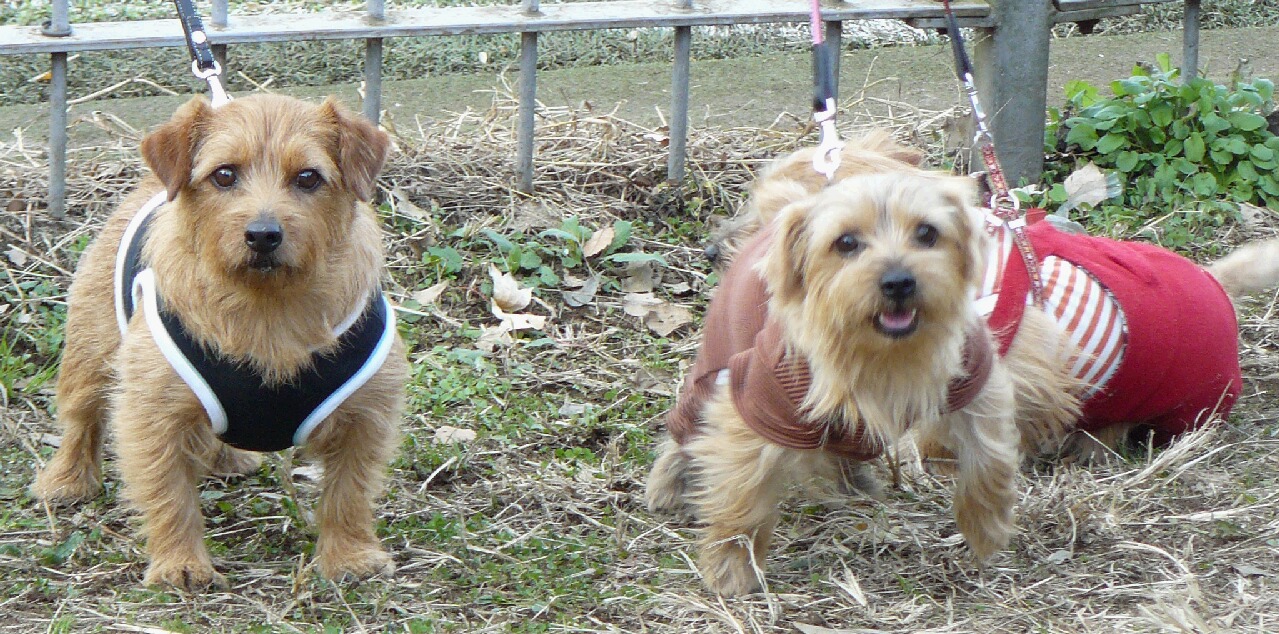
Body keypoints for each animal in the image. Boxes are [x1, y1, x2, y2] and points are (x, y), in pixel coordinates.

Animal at [31, 93, 408, 590]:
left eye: (308, 177)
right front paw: (180, 563)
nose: (263, 234)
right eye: (224, 174)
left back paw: (229, 458)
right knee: (81, 419)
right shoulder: (152, 415)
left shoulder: (366, 416)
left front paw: (349, 556)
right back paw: (66, 482)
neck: (267, 309)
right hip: (91, 353)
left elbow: (349, 491)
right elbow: (170, 493)